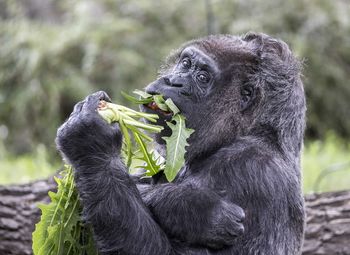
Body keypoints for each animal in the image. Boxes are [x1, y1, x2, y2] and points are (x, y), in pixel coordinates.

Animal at [55, 32, 306, 255]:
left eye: (202, 77)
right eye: (186, 63)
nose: (173, 81)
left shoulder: (248, 167)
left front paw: (90, 143)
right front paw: (194, 209)